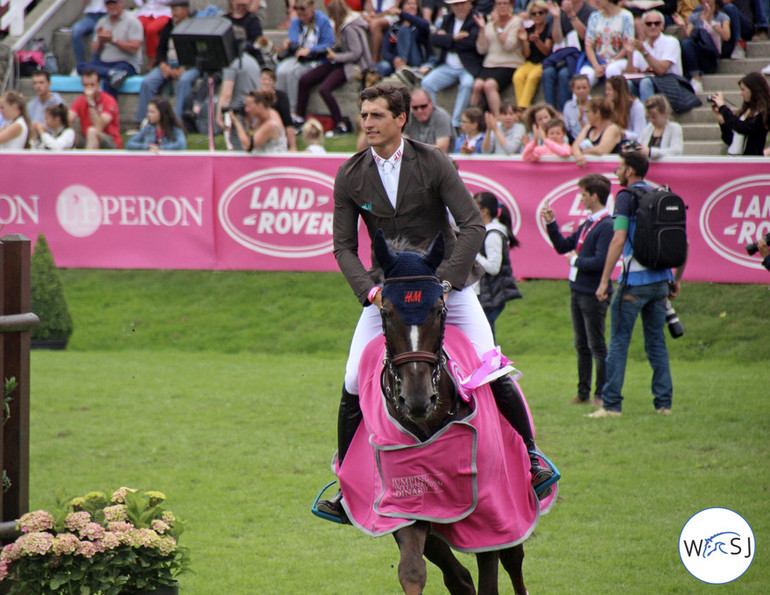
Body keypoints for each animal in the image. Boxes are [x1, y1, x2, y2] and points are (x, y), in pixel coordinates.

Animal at [370, 233, 528, 595]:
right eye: (385, 312)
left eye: (440, 310)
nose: (416, 398)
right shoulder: (408, 502)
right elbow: (414, 571)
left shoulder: (493, 508)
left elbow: (490, 575)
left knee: (514, 558)